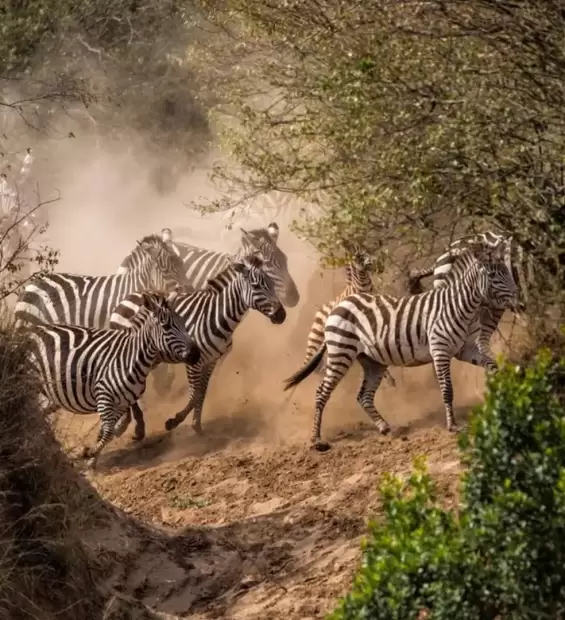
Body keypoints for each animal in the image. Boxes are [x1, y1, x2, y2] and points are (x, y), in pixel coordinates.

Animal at [28, 294, 202, 468]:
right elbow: (108, 431)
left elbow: (107, 433)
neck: (131, 358)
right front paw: (88, 453)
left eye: (183, 323)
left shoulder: (121, 403)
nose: (196, 354)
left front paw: (92, 459)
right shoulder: (104, 398)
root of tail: (31, 331)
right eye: (166, 326)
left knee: (41, 417)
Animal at [108, 252, 286, 440]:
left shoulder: (211, 361)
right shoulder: (194, 361)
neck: (216, 315)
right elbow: (194, 394)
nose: (282, 315)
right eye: (256, 285)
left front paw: (197, 425)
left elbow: (202, 392)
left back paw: (128, 425)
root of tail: (127, 297)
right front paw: (174, 421)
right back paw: (131, 426)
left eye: (272, 283)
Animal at [284, 241, 516, 450]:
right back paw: (317, 441)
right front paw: (453, 426)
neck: (462, 307)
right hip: (341, 353)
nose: (516, 299)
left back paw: (385, 427)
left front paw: (506, 393)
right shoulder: (440, 350)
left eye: (507, 271)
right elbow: (447, 389)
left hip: (372, 361)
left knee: (363, 396)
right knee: (322, 392)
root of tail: (339, 305)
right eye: (493, 275)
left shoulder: (467, 350)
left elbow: (494, 366)